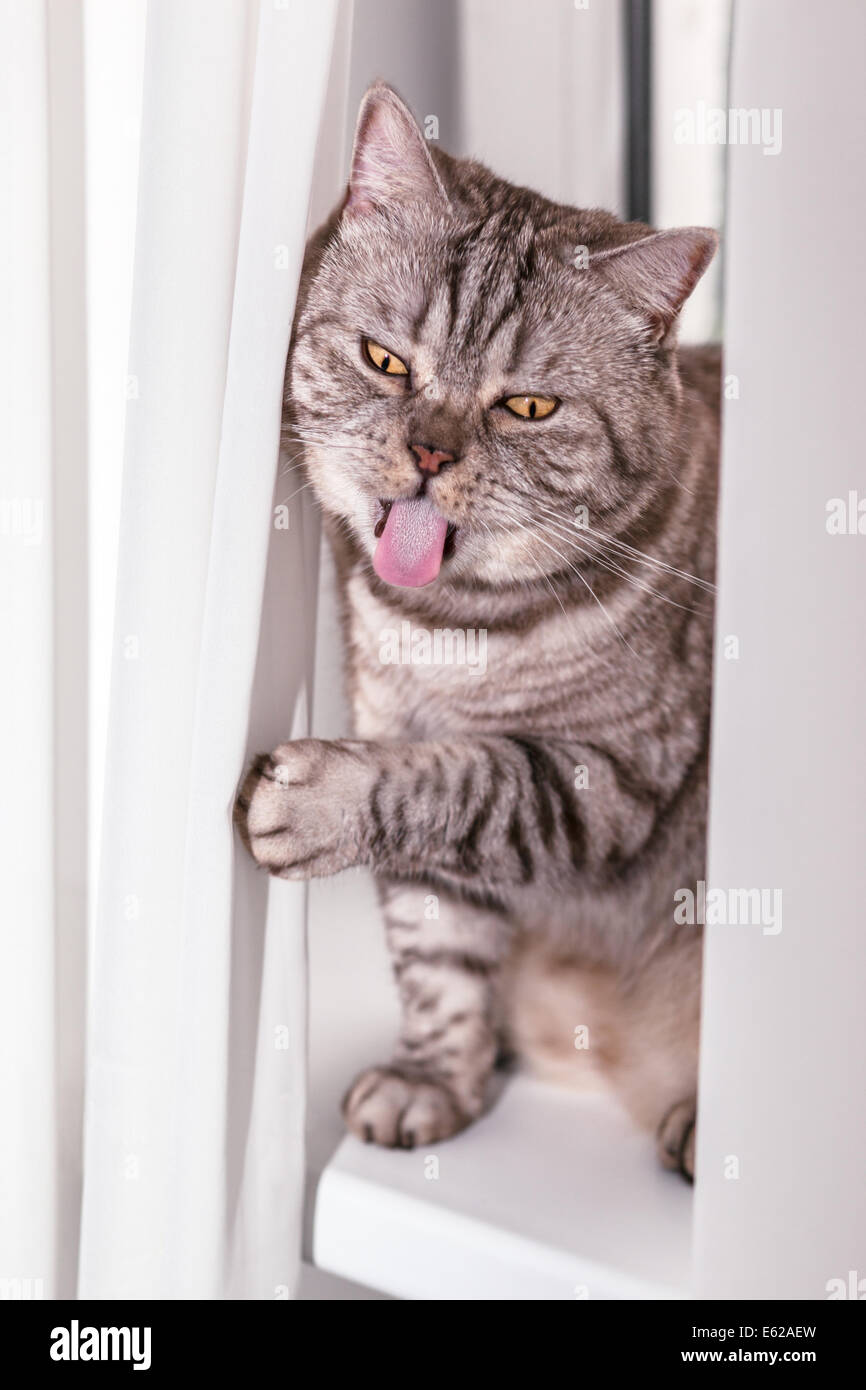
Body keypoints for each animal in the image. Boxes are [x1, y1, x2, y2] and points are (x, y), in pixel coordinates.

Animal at [234, 81, 717, 1178]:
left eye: (528, 407)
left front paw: (311, 800)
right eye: (385, 360)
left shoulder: (606, 776)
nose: (427, 451)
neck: (448, 627)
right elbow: (435, 948)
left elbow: (457, 779)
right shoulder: (418, 787)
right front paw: (431, 1083)